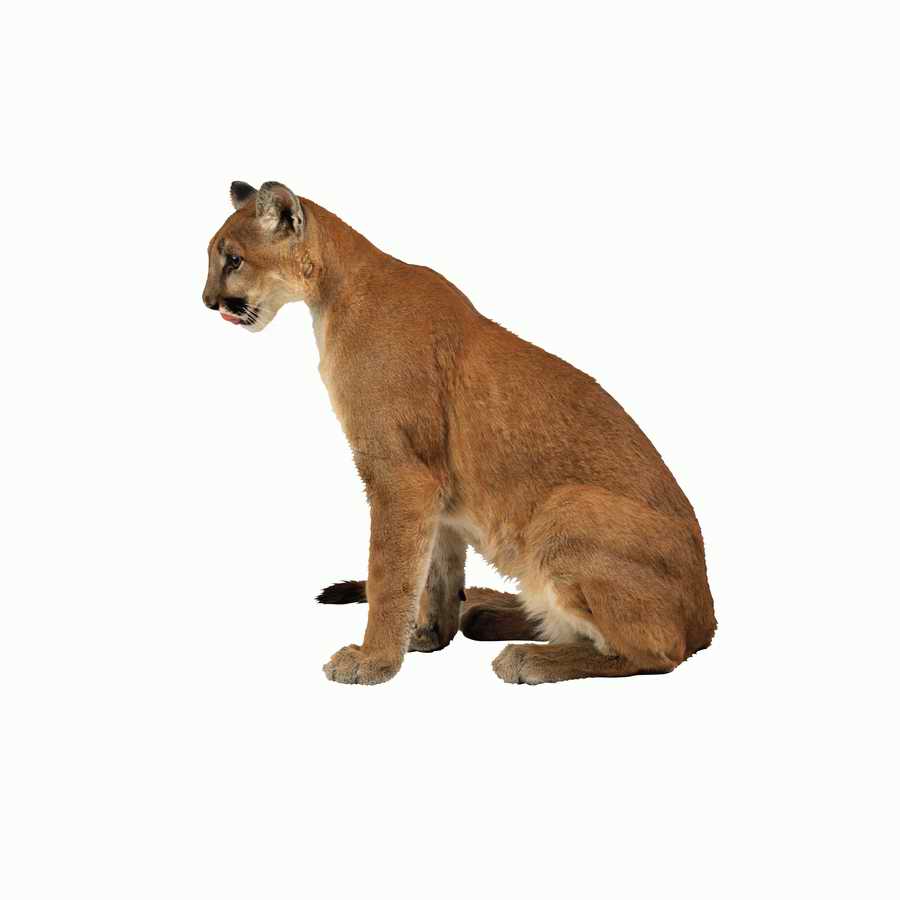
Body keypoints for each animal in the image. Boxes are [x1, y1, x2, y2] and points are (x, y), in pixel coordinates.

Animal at [203, 181, 716, 685]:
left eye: (234, 259)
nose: (207, 301)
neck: (331, 291)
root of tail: (707, 618)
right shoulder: (437, 494)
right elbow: (432, 570)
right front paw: (426, 634)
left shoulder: (400, 475)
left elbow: (389, 573)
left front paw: (372, 661)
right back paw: (491, 617)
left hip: (567, 509)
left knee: (656, 652)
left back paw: (528, 658)